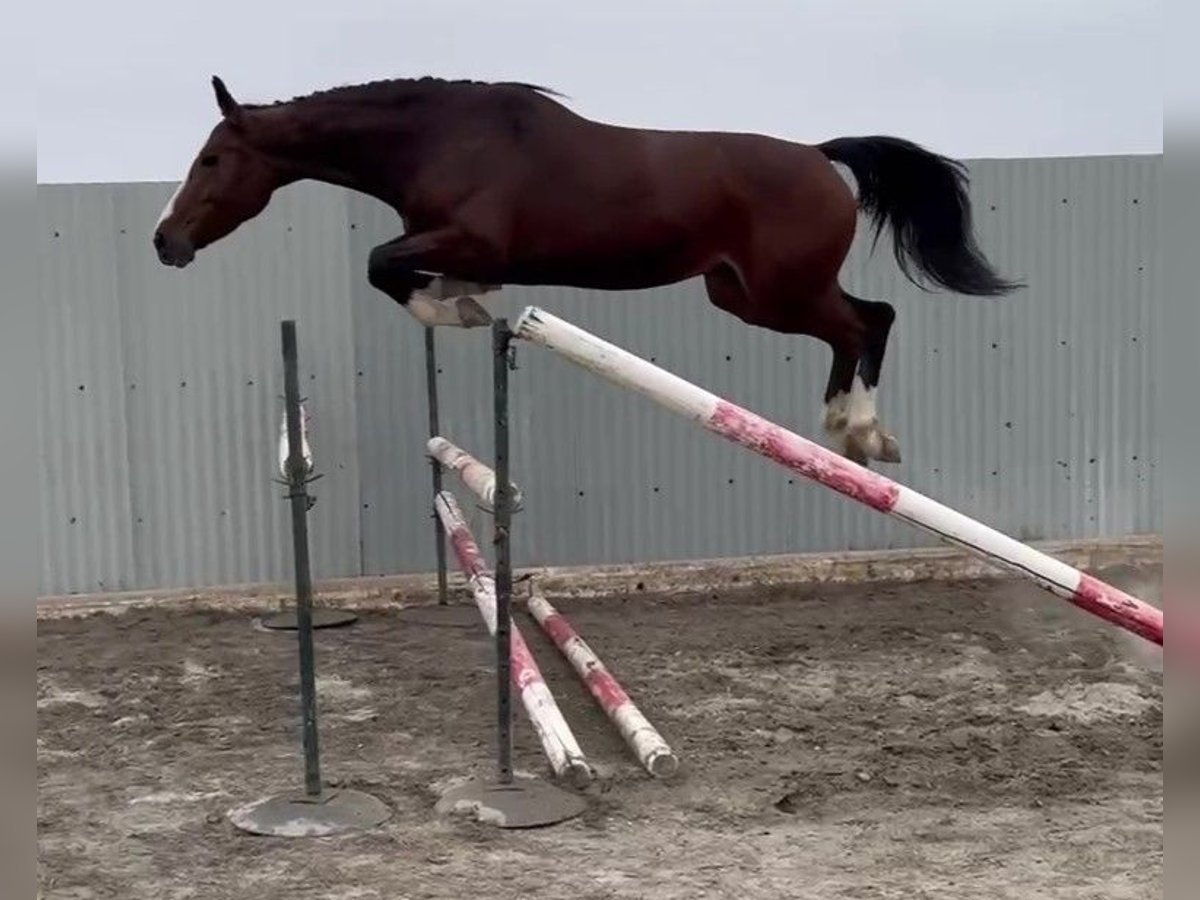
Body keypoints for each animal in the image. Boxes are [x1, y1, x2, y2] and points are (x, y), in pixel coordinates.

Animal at [153, 75, 1021, 465]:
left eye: (213, 159)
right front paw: (464, 304)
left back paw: (863, 431)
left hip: (782, 290)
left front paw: (461, 310)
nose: (165, 241)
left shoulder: (467, 239)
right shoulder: (444, 242)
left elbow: (383, 267)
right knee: (859, 324)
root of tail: (818, 155)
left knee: (870, 321)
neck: (440, 138)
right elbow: (403, 271)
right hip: (745, 294)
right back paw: (843, 430)